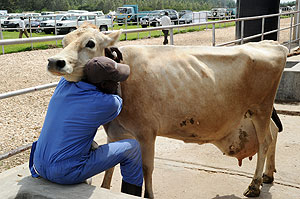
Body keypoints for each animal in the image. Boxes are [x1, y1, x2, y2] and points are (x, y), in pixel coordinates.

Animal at [47, 22, 288, 197]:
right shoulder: (115, 132)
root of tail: (273, 44)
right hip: (255, 113)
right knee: (273, 133)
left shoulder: (146, 132)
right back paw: (267, 175)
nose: (55, 61)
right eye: (64, 41)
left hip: (261, 107)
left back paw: (254, 185)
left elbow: (147, 168)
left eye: (90, 43)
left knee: (265, 141)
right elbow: (109, 169)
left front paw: (149, 195)